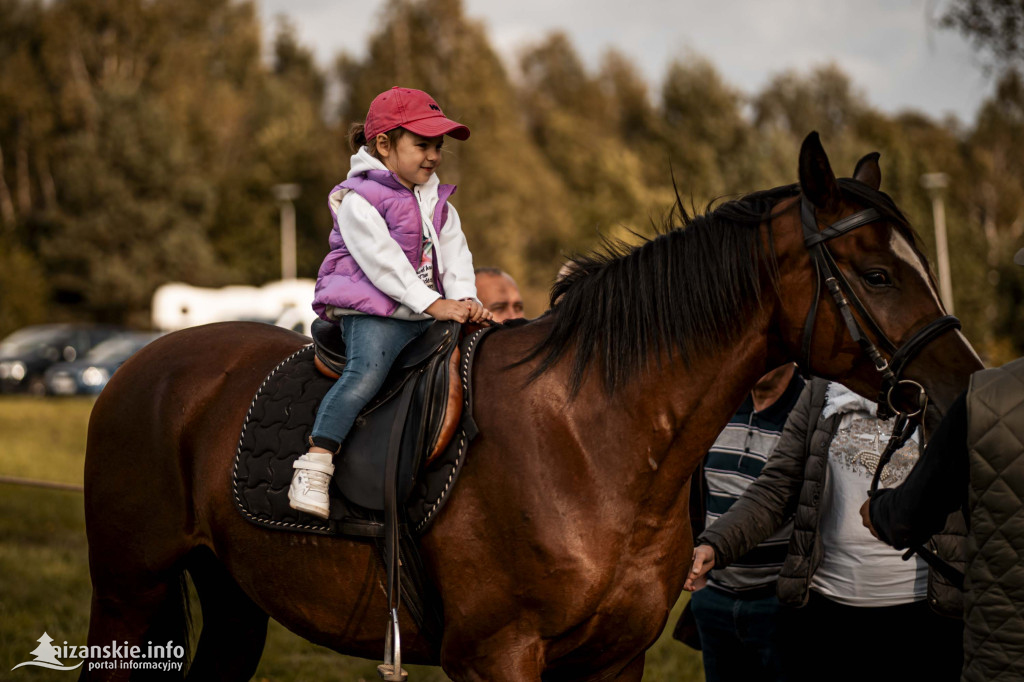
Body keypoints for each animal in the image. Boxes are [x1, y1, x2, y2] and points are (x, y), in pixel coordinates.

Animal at [81, 134, 983, 679]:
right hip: (129, 589)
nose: (960, 391)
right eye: (877, 274)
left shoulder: (614, 659)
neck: (595, 439)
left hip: (233, 598)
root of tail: (137, 366)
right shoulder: (499, 655)